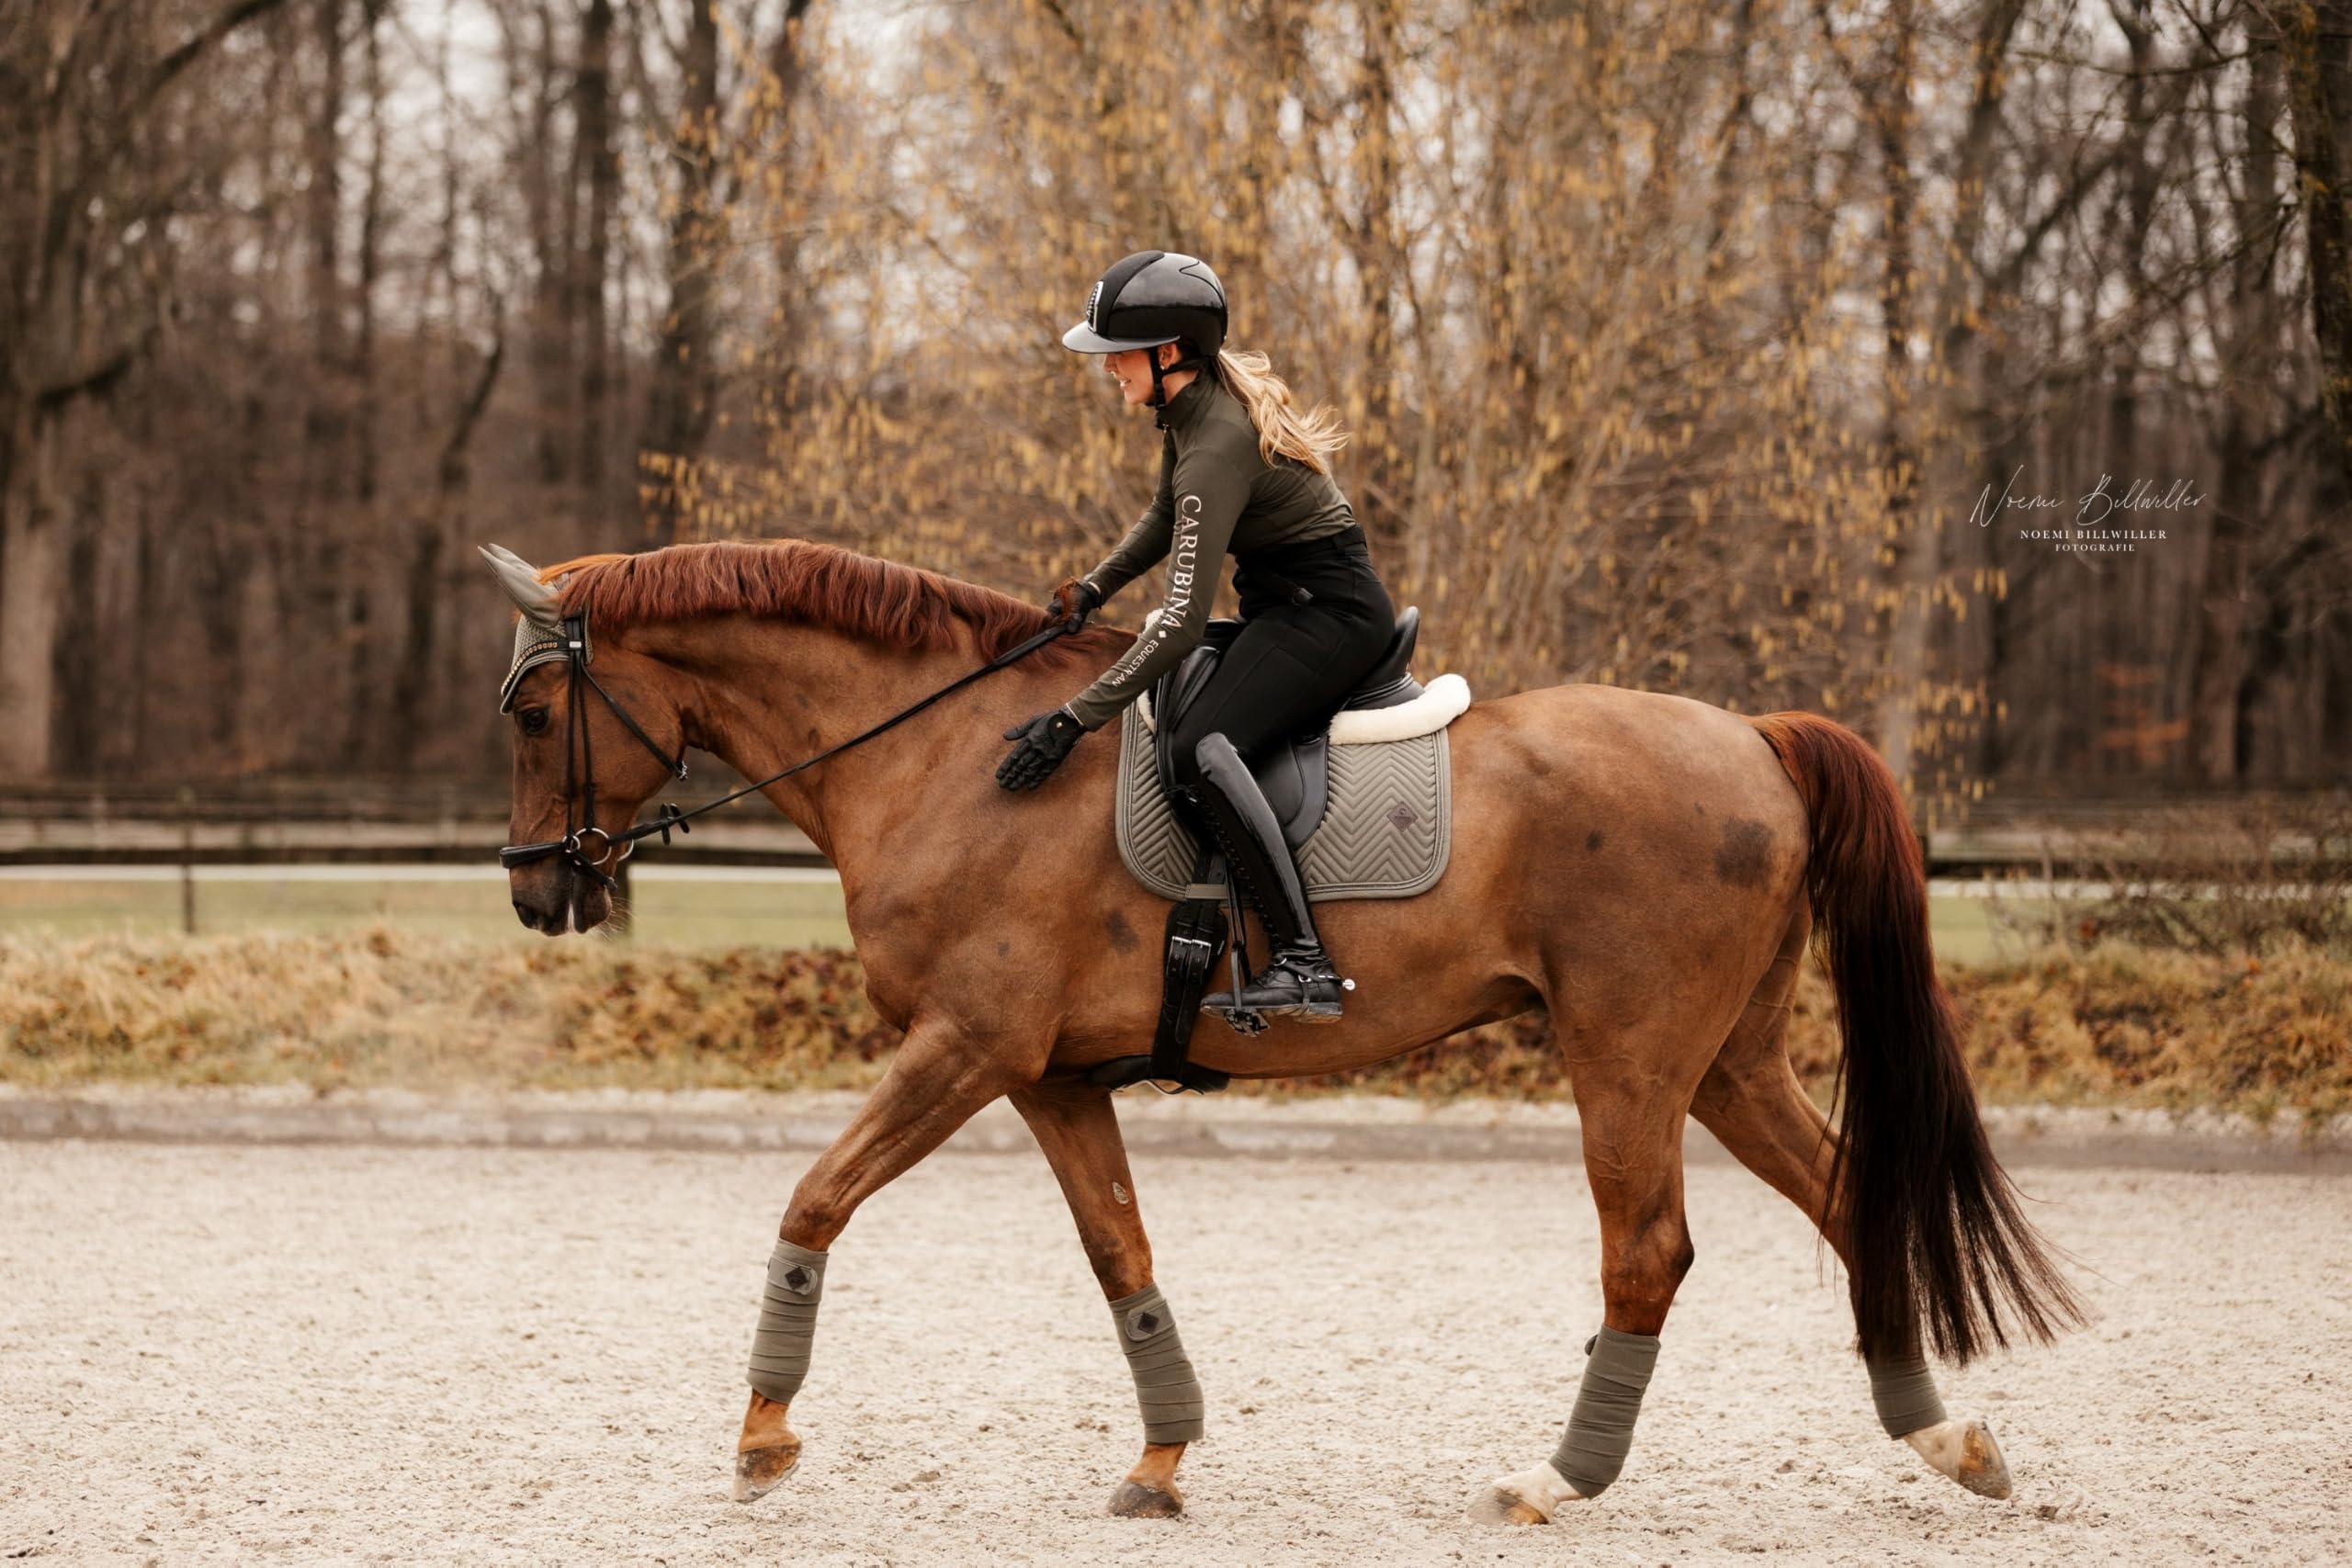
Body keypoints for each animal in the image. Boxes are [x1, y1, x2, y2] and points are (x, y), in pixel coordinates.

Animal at [482, 535, 2078, 1525]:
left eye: (535, 709)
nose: (537, 893)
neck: (943, 757)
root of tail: (1753, 735)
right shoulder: (1051, 1078)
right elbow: (1120, 1256)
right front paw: (1162, 1457)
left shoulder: (966, 1048)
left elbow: (814, 1197)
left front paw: (762, 1435)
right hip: (1728, 1064)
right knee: (1849, 1201)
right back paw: (1951, 1437)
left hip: (1629, 1061)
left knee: (1647, 1252)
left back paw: (1556, 1477)